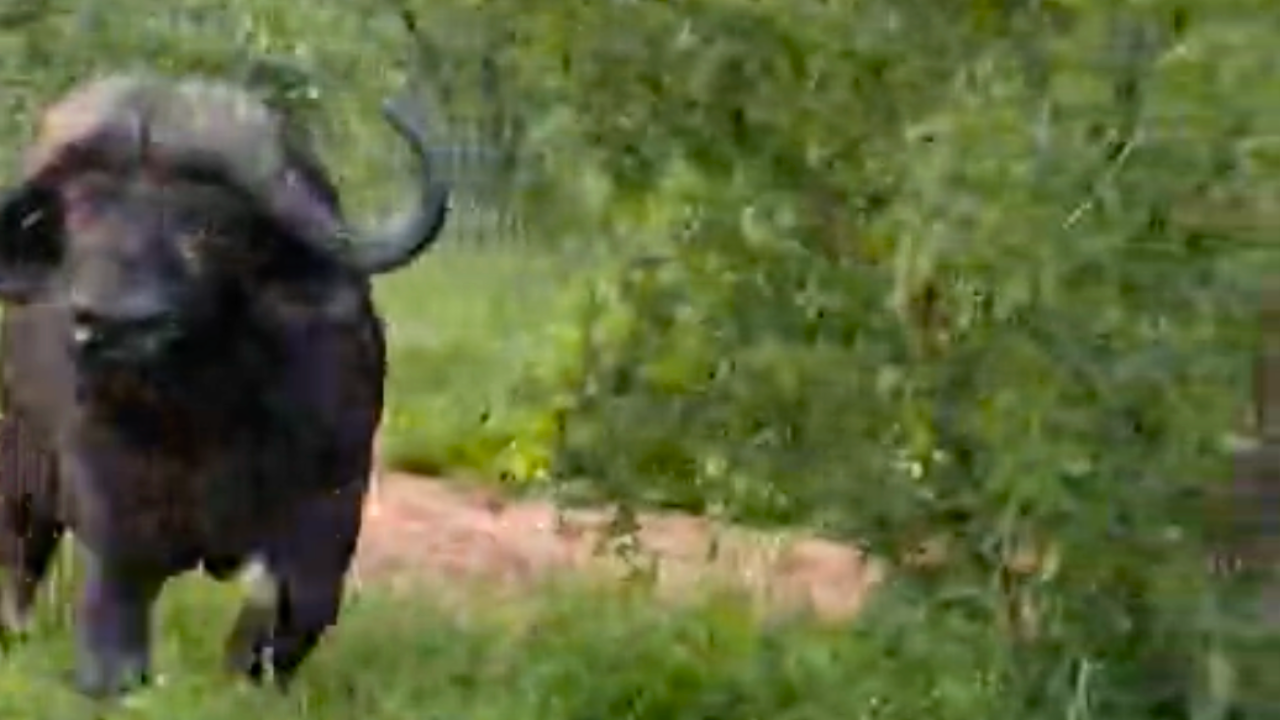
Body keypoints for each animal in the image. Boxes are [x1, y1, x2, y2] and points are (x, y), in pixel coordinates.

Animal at [0, 72, 449, 697]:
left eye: (207, 220)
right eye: (80, 208)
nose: (116, 324)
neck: (206, 414)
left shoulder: (335, 492)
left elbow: (300, 601)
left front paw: (249, 674)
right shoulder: (107, 488)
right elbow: (116, 595)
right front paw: (109, 679)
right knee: (20, 556)